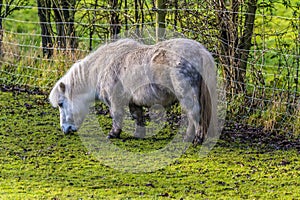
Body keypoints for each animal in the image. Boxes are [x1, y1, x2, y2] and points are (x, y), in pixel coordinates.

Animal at [49, 37, 216, 144]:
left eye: (61, 103)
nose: (65, 129)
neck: (101, 69)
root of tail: (200, 51)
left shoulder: (115, 101)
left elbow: (117, 116)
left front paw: (113, 134)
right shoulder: (133, 102)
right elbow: (138, 117)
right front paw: (138, 135)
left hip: (187, 96)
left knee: (195, 114)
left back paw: (196, 139)